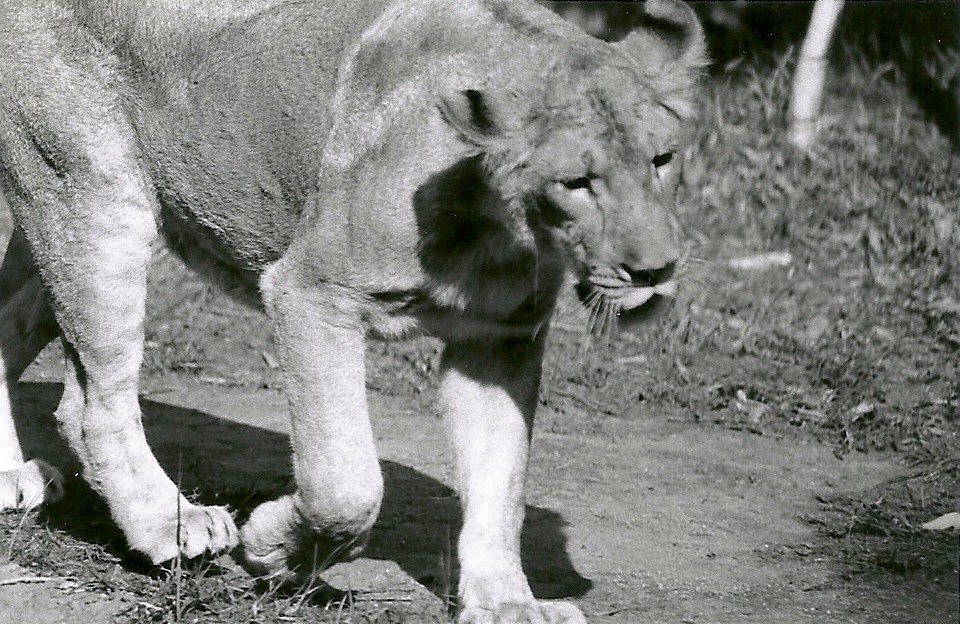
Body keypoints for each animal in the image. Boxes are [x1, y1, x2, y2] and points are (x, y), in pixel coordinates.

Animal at [0, 0, 705, 621]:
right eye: (576, 182)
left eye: (662, 159)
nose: (656, 271)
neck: (504, 226)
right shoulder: (310, 292)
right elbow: (346, 483)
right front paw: (273, 549)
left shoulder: (498, 341)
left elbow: (501, 485)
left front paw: (507, 603)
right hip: (91, 196)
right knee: (89, 404)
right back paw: (167, 522)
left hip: (52, 225)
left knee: (8, 323)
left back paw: (12, 479)